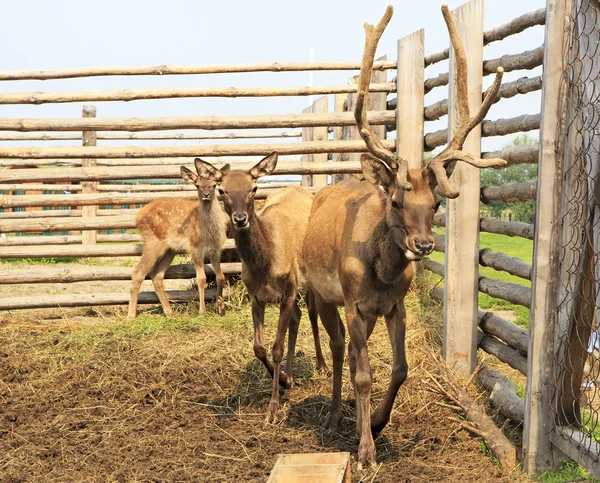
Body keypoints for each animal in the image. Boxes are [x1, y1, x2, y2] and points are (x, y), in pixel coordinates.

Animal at [195, 154, 328, 424]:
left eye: (254, 188)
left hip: (309, 280)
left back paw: (322, 365)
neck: (266, 265)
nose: (240, 219)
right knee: (297, 317)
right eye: (221, 190)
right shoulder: (256, 296)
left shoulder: (289, 289)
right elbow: (258, 348)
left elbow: (277, 347)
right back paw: (290, 374)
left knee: (311, 314)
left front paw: (273, 409)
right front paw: (285, 380)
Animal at [304, 2, 506, 466]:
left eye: (435, 205)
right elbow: (363, 374)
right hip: (320, 292)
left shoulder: (395, 306)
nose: (424, 244)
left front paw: (377, 423)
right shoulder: (355, 303)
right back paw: (333, 416)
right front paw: (365, 449)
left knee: (348, 351)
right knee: (338, 349)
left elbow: (399, 368)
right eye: (396, 202)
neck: (380, 276)